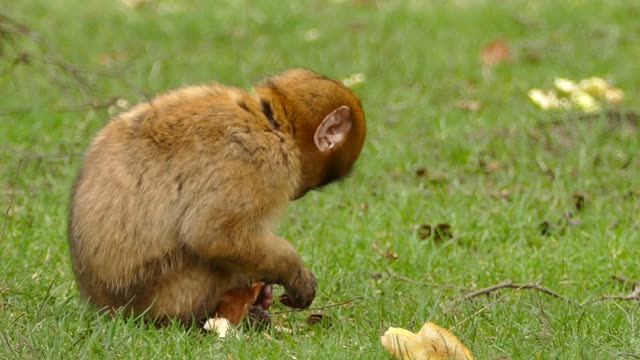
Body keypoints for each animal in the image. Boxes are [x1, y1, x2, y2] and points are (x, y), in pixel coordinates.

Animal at [67, 67, 368, 326]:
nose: (298, 193)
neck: (271, 122)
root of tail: (104, 304)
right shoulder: (258, 162)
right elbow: (212, 235)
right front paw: (293, 271)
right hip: (162, 295)